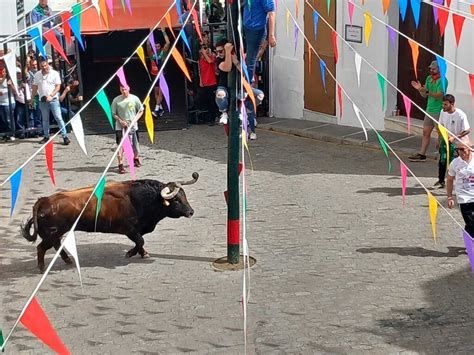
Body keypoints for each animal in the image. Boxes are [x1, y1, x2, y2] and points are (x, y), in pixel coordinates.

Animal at [21, 173, 199, 272]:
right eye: (176, 200)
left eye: (184, 196)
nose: (191, 212)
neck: (144, 198)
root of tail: (43, 200)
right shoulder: (130, 229)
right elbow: (140, 240)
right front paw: (131, 253)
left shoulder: (138, 229)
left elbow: (140, 241)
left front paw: (143, 253)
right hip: (51, 233)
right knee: (42, 247)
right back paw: (41, 268)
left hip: (55, 233)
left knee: (56, 245)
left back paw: (67, 260)